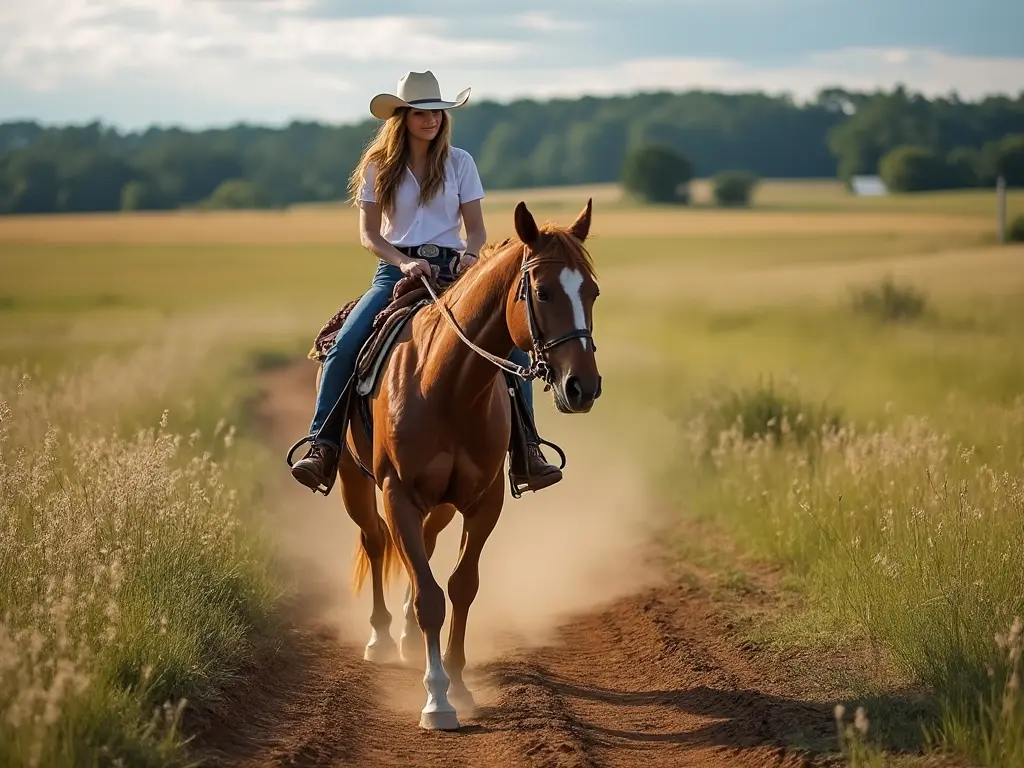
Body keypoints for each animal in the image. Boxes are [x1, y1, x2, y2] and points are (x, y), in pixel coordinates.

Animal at [312, 199, 600, 730]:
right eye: (543, 291)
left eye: (591, 290)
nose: (582, 387)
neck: (446, 385)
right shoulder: (398, 493)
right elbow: (430, 596)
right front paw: (436, 700)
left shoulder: (483, 501)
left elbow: (461, 587)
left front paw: (461, 686)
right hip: (354, 483)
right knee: (376, 540)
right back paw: (382, 637)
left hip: (441, 504)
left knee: (421, 547)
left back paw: (406, 636)